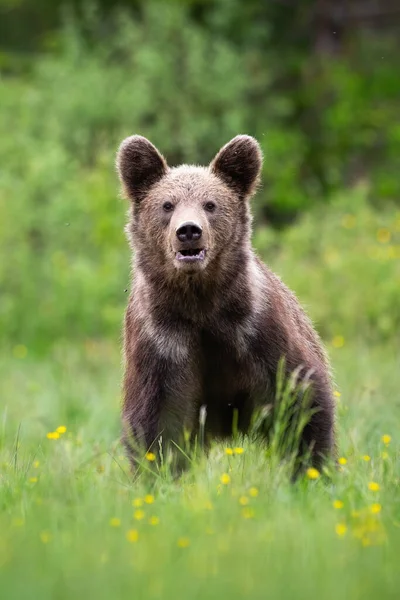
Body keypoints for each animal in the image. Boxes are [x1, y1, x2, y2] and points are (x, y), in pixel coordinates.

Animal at [117, 134, 336, 472]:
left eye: (210, 204)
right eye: (167, 205)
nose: (189, 231)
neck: (201, 303)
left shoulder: (256, 329)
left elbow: (303, 399)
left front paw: (311, 469)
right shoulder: (162, 342)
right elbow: (154, 424)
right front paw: (156, 473)